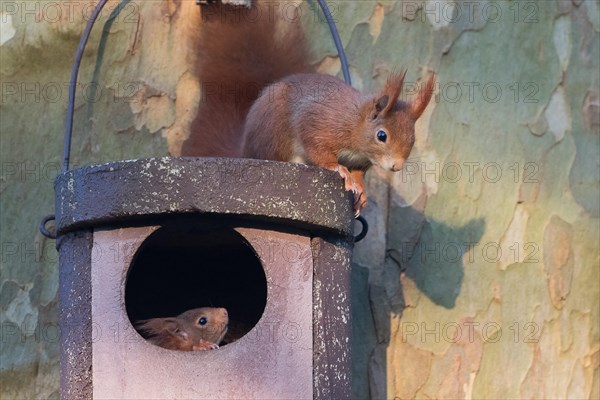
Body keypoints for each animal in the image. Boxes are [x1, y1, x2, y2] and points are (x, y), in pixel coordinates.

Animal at [180, 0, 434, 216]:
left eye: (412, 139)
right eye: (382, 136)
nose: (396, 166)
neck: (355, 123)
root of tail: (245, 147)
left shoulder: (361, 160)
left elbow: (359, 172)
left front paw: (361, 189)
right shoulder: (319, 123)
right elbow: (318, 149)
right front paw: (339, 169)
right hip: (275, 135)